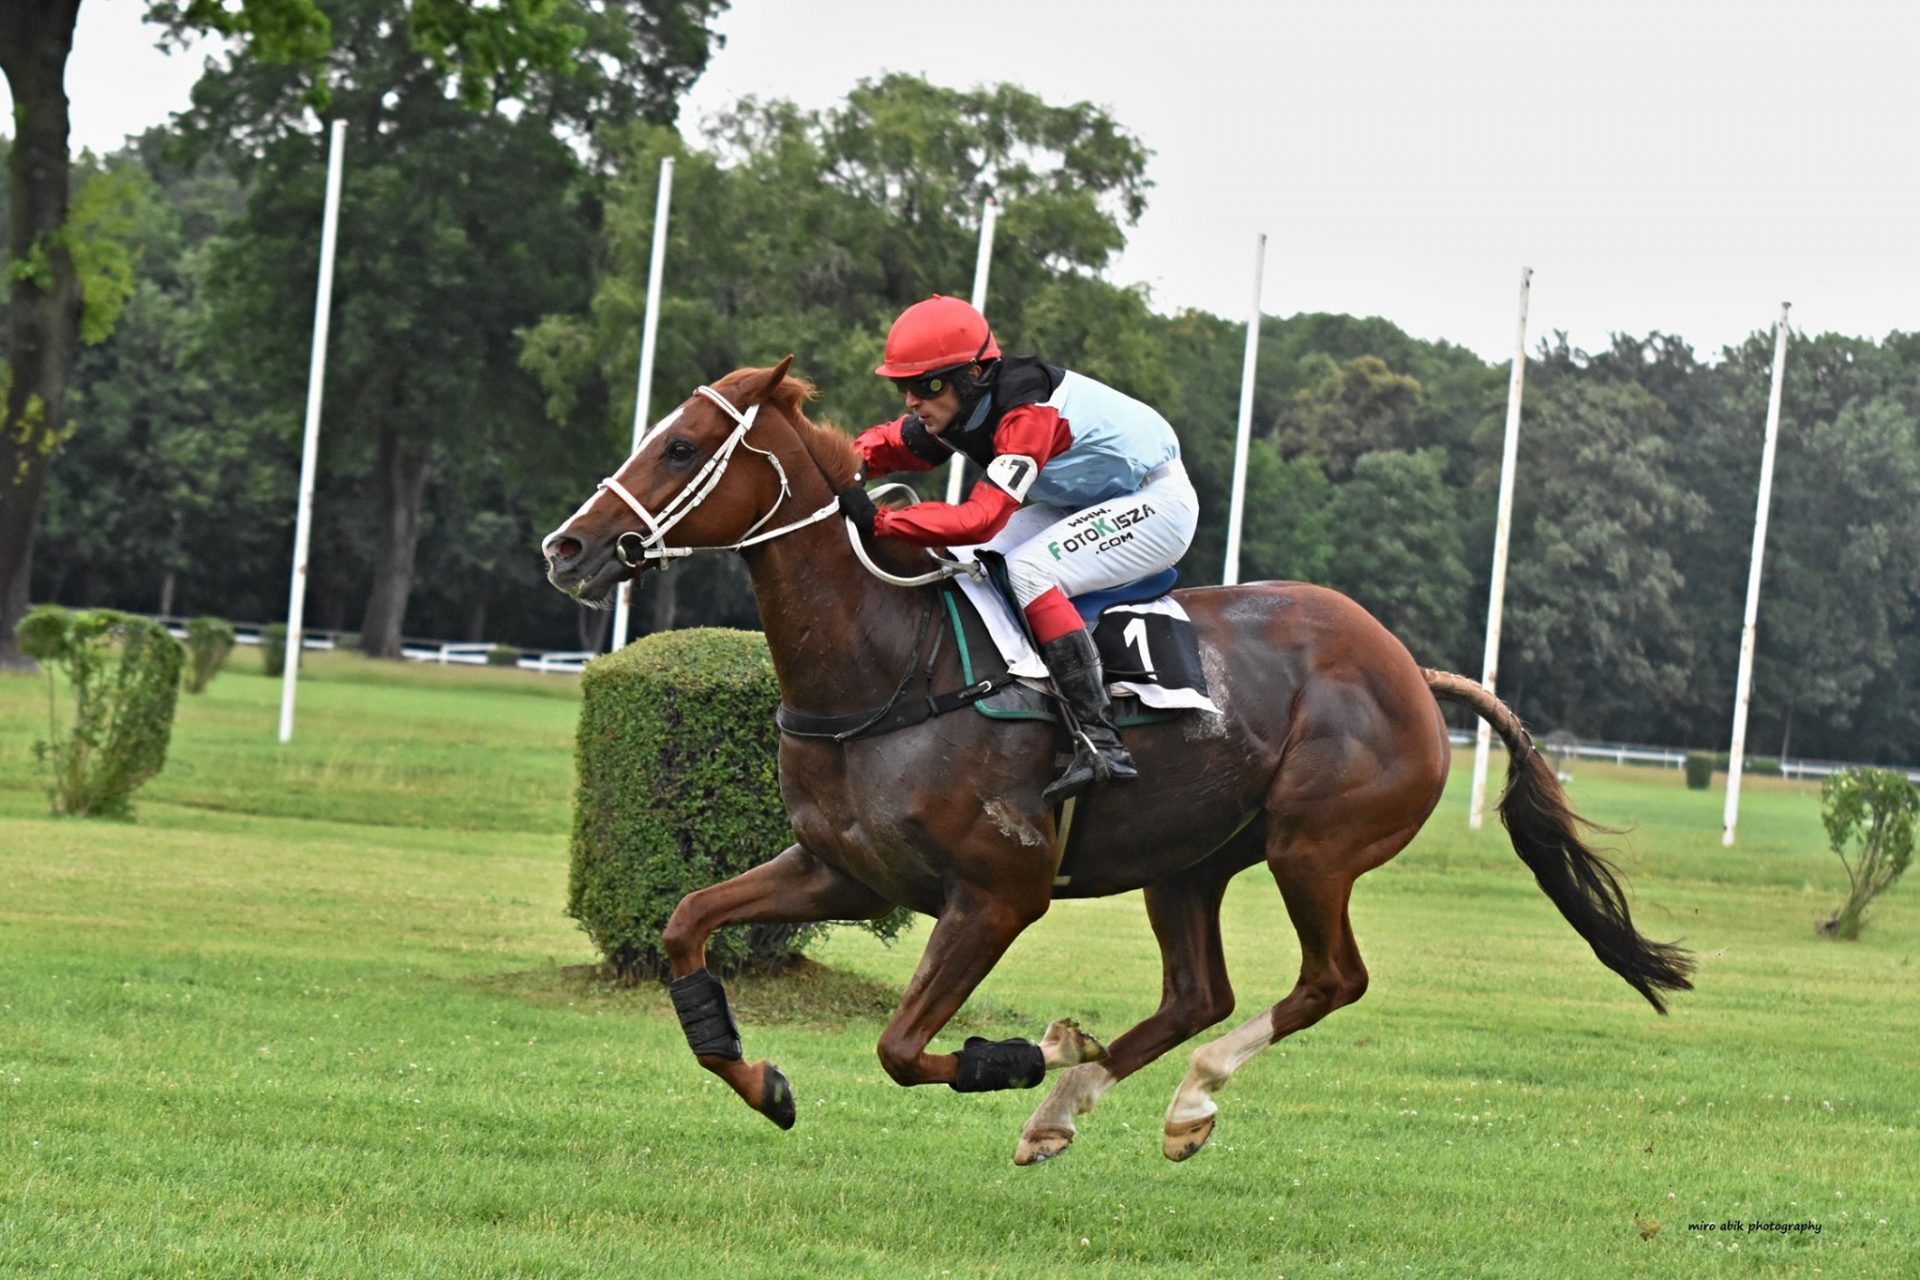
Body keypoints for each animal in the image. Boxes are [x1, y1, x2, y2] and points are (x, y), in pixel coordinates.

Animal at [541, 358, 1697, 1159]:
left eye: (685, 446)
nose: (568, 547)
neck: (889, 662)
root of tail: (1413, 672)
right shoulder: (841, 869)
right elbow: (687, 922)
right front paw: (762, 1080)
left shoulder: (997, 894)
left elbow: (902, 1047)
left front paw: (1022, 1052)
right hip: (1187, 862)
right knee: (1198, 993)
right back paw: (1067, 1105)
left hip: (1313, 847)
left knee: (1328, 978)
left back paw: (1176, 1096)